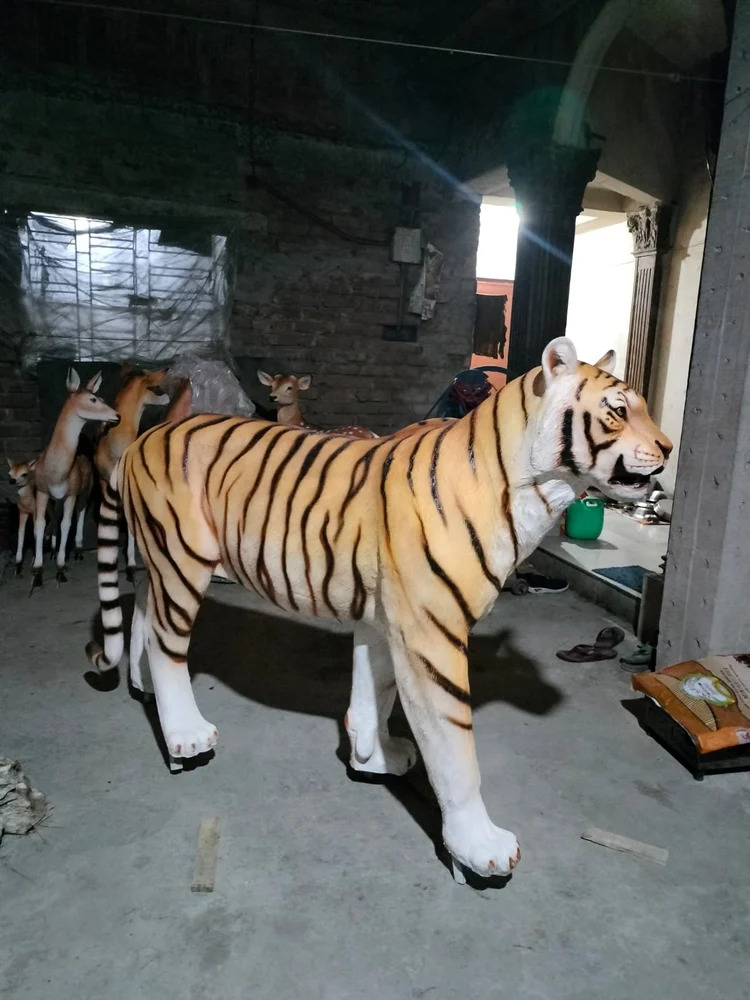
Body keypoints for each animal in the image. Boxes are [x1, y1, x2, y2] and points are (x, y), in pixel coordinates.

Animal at [86, 337, 672, 881]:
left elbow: (373, 697)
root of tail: (143, 438)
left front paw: (373, 759)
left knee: (143, 616)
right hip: (183, 558)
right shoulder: (432, 635)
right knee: (167, 644)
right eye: (618, 410)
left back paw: (143, 689)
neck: (535, 490)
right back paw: (185, 736)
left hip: (158, 559)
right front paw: (477, 847)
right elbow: (455, 751)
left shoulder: (385, 622)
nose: (668, 446)